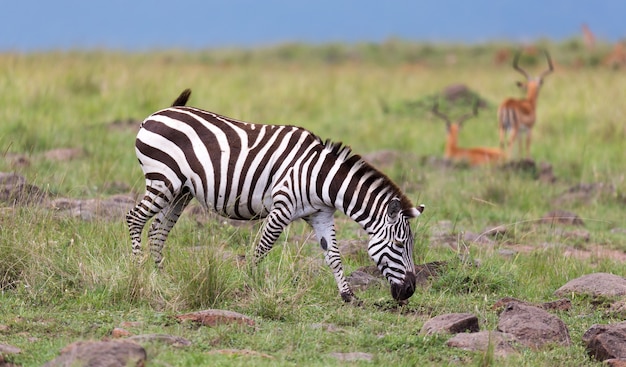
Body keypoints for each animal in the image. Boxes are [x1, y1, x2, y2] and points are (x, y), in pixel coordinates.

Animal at [126, 88, 424, 302]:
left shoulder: (321, 215)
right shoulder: (281, 208)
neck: (320, 177)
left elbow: (334, 256)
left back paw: (161, 277)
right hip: (162, 180)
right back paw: (137, 271)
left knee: (157, 231)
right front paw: (249, 285)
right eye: (399, 245)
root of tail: (161, 112)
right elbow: (261, 248)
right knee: (135, 218)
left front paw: (348, 295)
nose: (409, 291)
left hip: (180, 191)